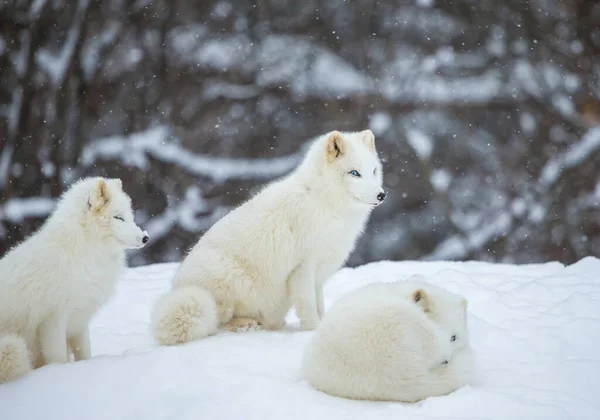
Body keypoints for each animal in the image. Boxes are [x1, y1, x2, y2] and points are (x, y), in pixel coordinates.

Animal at [0, 176, 149, 382]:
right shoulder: (53, 320)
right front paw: (60, 374)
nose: (145, 238)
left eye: (130, 216)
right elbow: (58, 357)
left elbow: (84, 353)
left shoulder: (79, 320)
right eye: (119, 217)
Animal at [152, 130, 386, 344]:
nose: (381, 195)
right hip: (228, 279)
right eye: (354, 173)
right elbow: (309, 307)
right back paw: (245, 325)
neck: (323, 202)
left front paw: (324, 324)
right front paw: (313, 331)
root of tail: (176, 288)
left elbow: (319, 305)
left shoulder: (318, 273)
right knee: (215, 325)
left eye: (374, 171)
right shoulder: (303, 268)